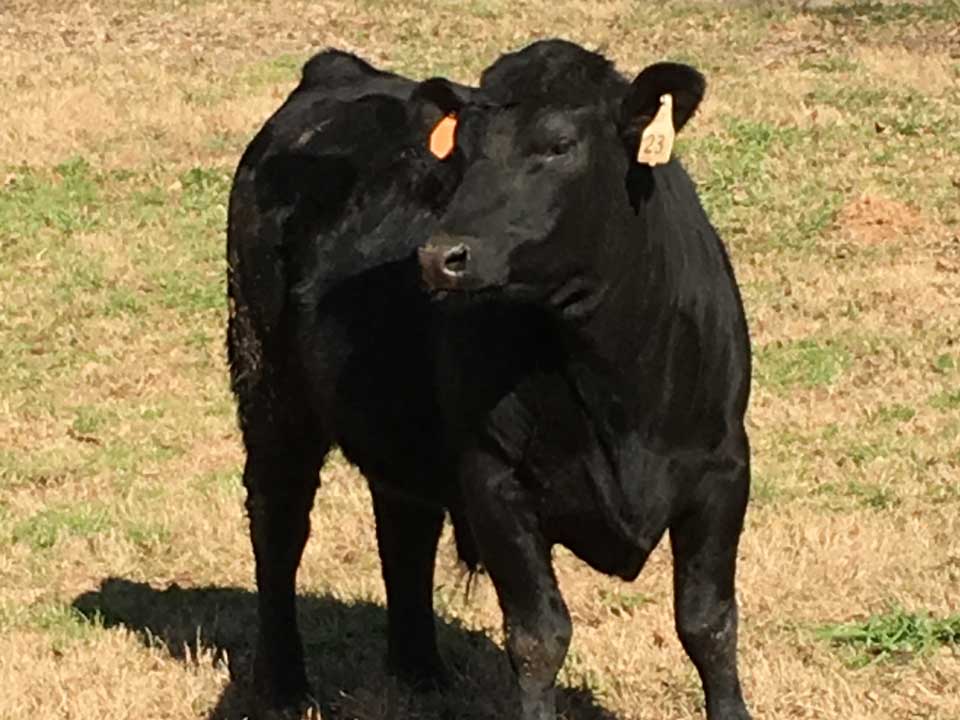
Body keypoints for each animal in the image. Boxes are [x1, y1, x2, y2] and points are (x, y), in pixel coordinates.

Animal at [226, 50, 476, 718]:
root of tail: (339, 69)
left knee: (405, 527)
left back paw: (420, 668)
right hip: (268, 383)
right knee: (278, 517)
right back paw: (284, 685)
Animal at [418, 39, 754, 720]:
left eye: (558, 145)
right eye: (460, 148)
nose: (441, 256)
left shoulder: (725, 468)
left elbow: (709, 623)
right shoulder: (492, 479)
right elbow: (537, 638)